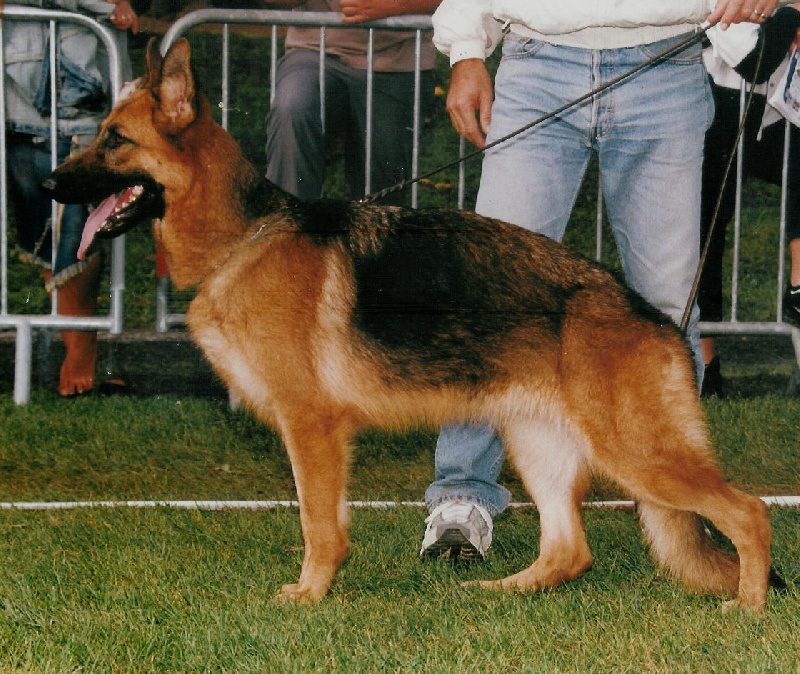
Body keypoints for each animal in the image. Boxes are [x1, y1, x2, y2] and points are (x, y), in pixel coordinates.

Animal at [42, 38, 774, 611]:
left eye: (115, 139)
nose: (49, 185)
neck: (244, 237)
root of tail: (651, 316)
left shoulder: (311, 426)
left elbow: (318, 524)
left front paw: (311, 595)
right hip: (537, 442)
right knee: (570, 551)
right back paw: (500, 590)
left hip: (636, 453)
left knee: (751, 512)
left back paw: (749, 606)